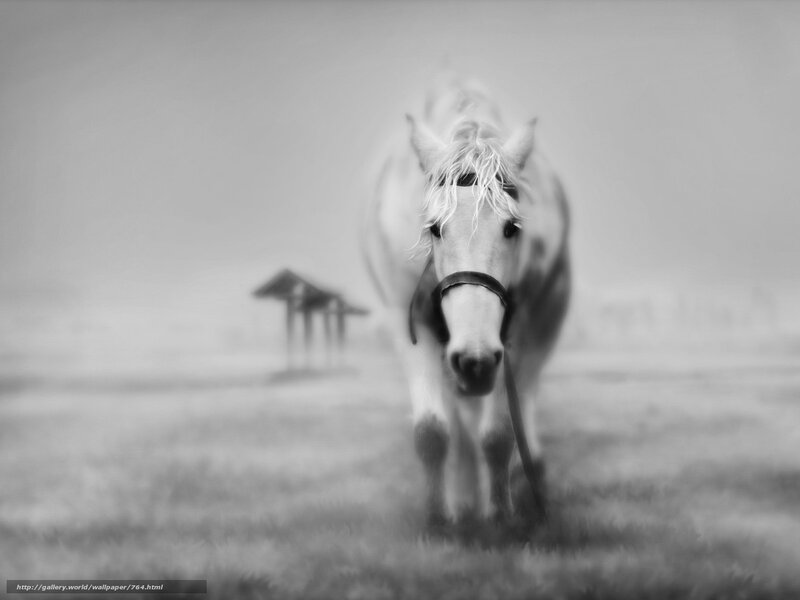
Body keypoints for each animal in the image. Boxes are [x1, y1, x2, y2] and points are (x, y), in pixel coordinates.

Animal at [361, 79, 571, 527]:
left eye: (512, 227)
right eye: (433, 228)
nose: (475, 361)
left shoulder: (517, 330)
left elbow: (499, 433)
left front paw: (500, 514)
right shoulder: (410, 325)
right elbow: (432, 430)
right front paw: (439, 517)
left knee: (525, 396)